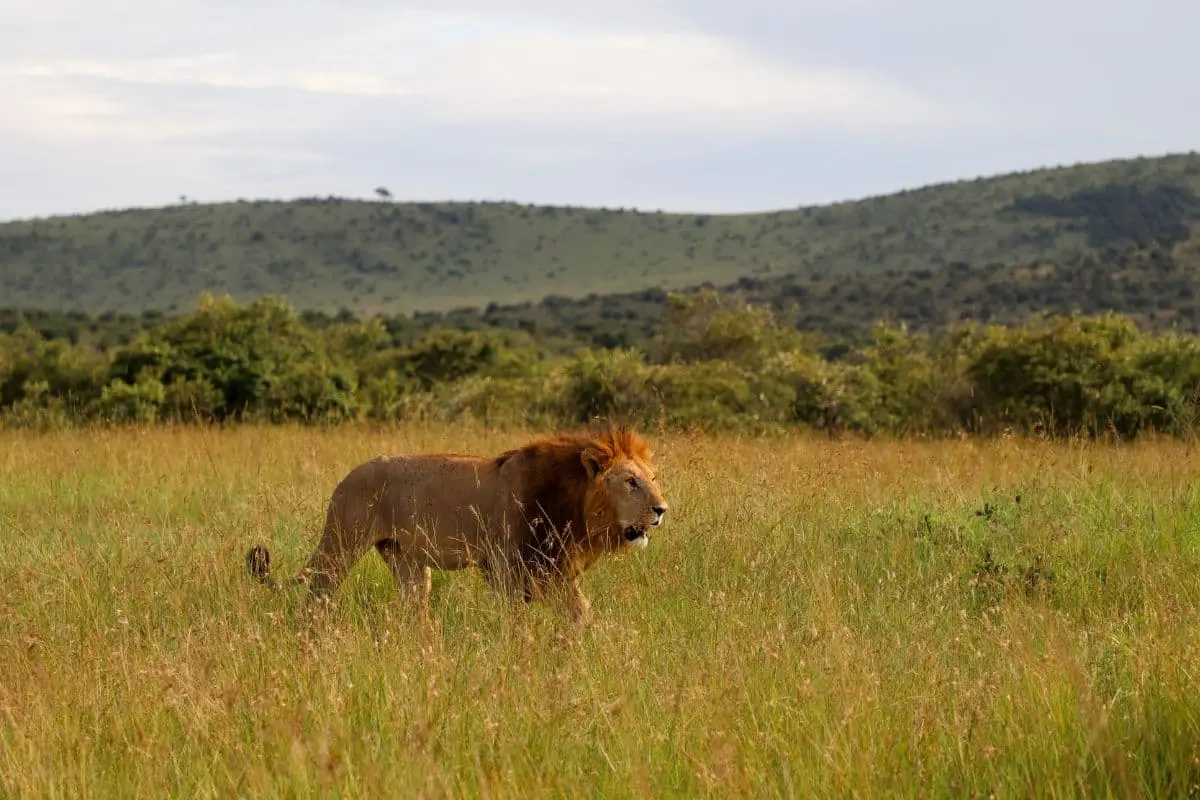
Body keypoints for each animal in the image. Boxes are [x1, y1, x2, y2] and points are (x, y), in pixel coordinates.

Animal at [244, 427, 668, 627]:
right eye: (630, 482)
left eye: (653, 478)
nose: (662, 509)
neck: (576, 507)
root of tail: (347, 477)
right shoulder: (507, 568)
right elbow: (517, 621)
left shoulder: (553, 567)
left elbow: (581, 612)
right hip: (342, 543)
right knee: (316, 594)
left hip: (406, 560)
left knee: (413, 607)